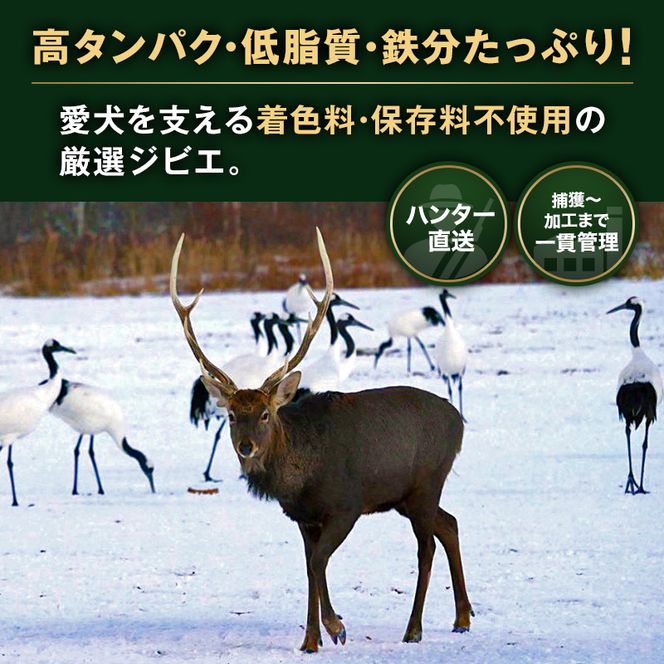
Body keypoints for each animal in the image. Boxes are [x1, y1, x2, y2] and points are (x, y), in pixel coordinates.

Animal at [170, 229, 473, 653]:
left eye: (266, 413)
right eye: (230, 415)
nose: (246, 447)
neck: (300, 479)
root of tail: (457, 420)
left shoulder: (346, 505)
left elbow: (318, 563)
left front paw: (336, 628)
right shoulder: (302, 517)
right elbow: (309, 567)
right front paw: (310, 640)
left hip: (428, 481)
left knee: (426, 544)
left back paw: (414, 629)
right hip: (405, 495)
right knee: (450, 524)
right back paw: (462, 618)